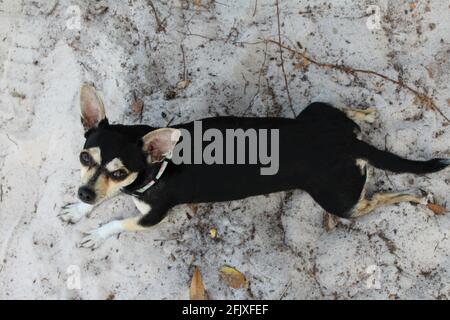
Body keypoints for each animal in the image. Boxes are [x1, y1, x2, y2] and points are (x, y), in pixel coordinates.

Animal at [59, 84, 446, 249]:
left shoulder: (150, 217)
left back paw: (413, 195)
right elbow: (102, 201)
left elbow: (117, 222)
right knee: (347, 115)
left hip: (341, 202)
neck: (158, 165)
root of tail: (347, 144)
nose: (83, 192)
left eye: (120, 172)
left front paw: (96, 232)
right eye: (84, 158)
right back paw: (365, 114)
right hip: (314, 112)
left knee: (379, 198)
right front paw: (79, 210)